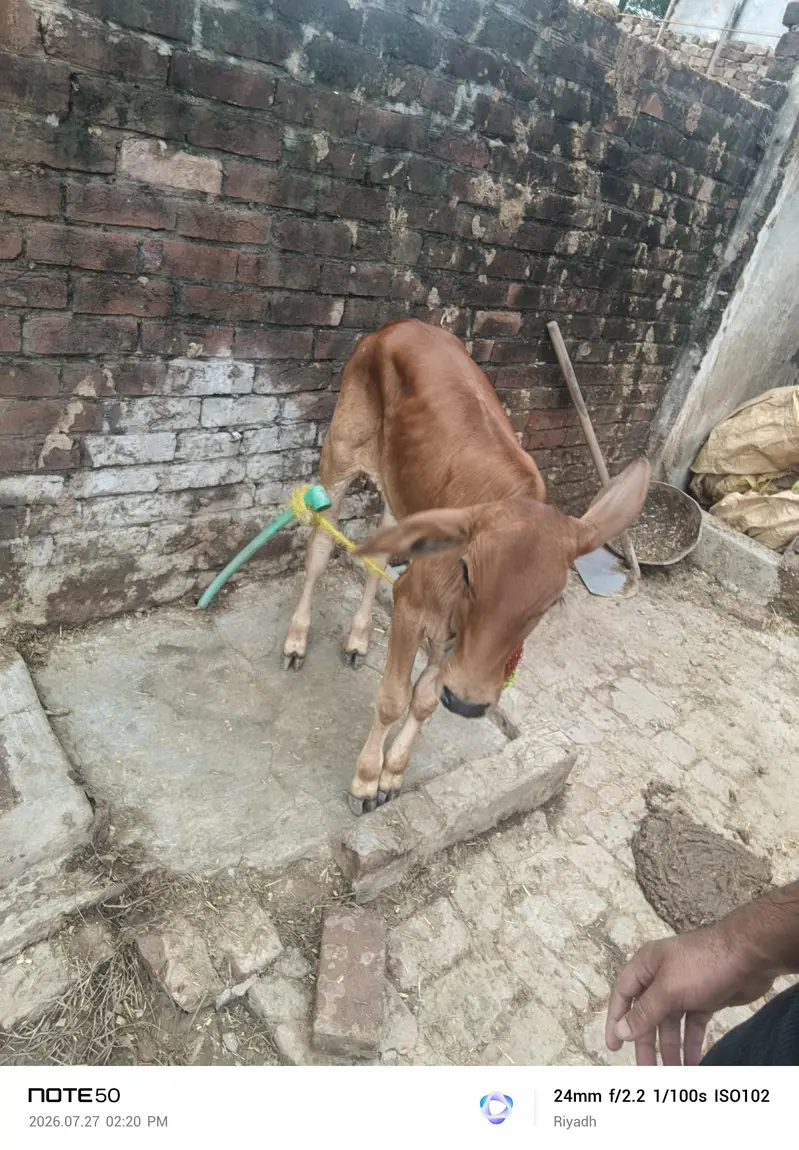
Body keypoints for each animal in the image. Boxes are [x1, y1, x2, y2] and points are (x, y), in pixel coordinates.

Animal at [283, 319, 650, 814]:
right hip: (341, 451)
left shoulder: (455, 644)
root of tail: (399, 326)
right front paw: (365, 782)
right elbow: (393, 699)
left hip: (400, 489)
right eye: (469, 574)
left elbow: (424, 701)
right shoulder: (412, 606)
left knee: (377, 551)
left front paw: (393, 775)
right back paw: (296, 641)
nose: (471, 704)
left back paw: (358, 639)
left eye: (551, 602)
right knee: (320, 546)